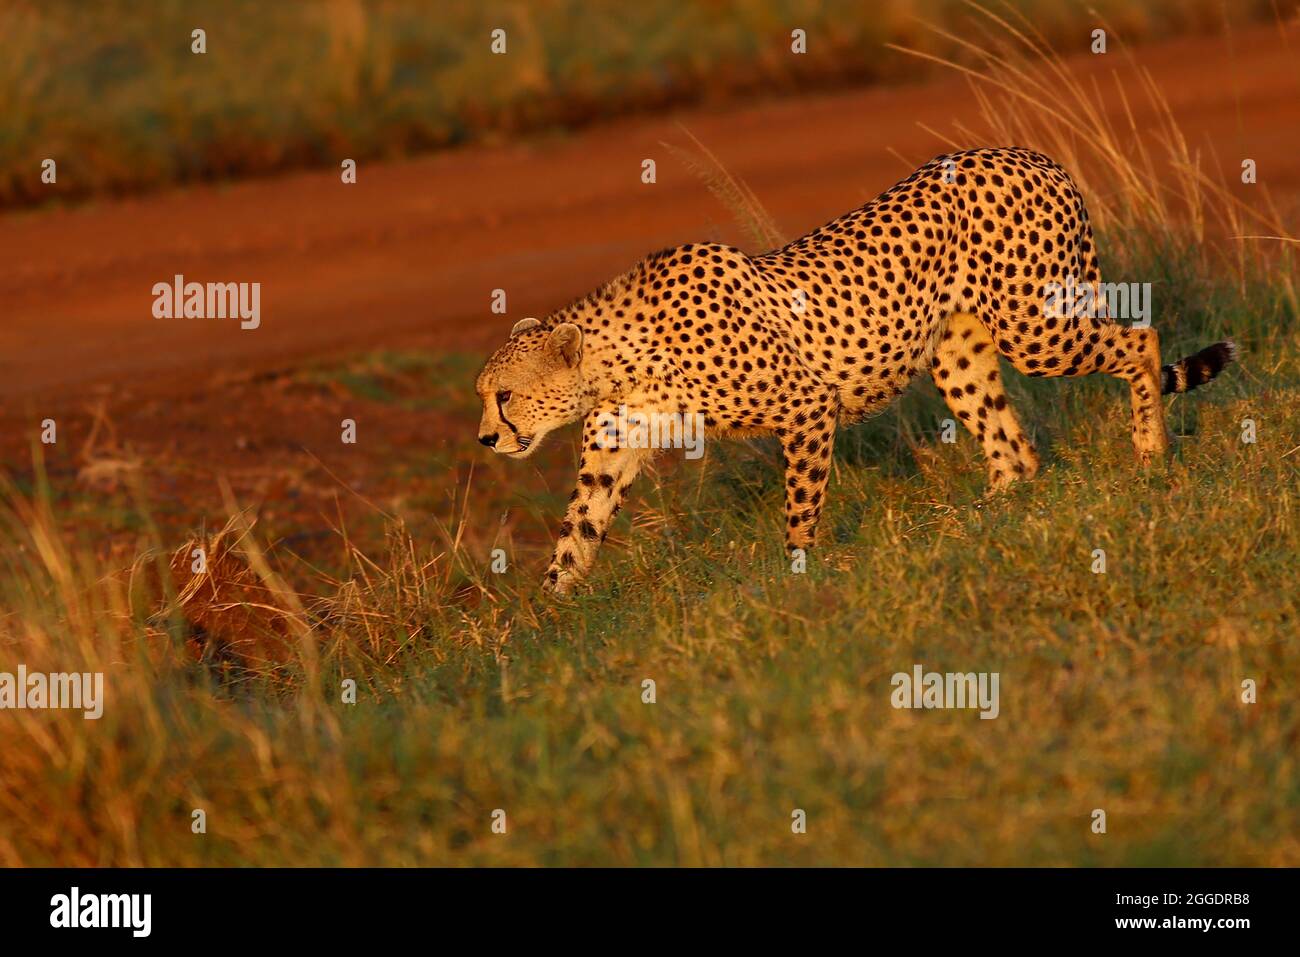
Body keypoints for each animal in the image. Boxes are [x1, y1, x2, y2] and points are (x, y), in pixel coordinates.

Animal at [478, 147, 1237, 590]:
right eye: (486, 395)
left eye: (506, 396)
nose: (486, 437)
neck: (617, 355)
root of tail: (1027, 152)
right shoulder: (615, 446)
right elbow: (578, 530)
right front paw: (546, 629)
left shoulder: (808, 407)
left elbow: (799, 503)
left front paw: (799, 575)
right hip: (959, 354)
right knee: (1017, 453)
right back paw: (974, 520)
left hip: (1035, 327)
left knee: (1141, 340)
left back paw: (1150, 450)